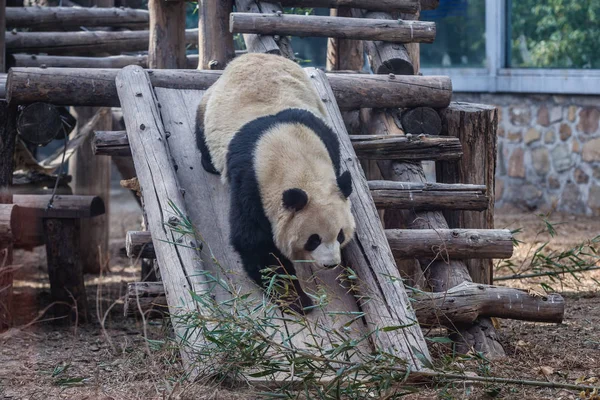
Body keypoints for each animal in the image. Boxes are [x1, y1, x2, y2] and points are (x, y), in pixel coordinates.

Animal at [197, 53, 356, 314]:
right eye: (313, 239)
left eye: (340, 235)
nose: (331, 264)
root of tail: (250, 56)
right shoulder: (252, 184)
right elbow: (255, 243)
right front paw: (296, 299)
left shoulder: (328, 144)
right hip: (212, 102)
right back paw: (207, 162)